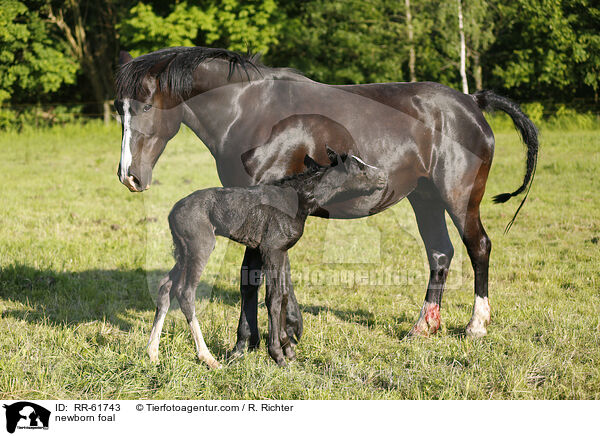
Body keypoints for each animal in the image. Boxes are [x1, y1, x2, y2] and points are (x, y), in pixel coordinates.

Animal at [148, 148, 386, 366]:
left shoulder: (276, 250)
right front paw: (278, 355)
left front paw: (288, 350)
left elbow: (282, 295)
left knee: (166, 286)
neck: (299, 199)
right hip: (200, 246)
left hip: (183, 251)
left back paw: (153, 353)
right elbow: (273, 297)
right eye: (361, 169)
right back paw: (207, 357)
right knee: (185, 292)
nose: (383, 176)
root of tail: (172, 213)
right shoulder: (272, 249)